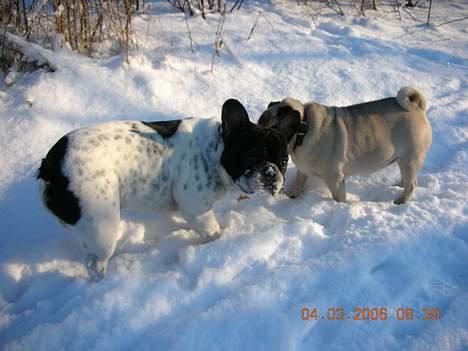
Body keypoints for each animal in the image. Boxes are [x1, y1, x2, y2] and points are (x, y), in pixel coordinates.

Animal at [36, 100, 294, 282]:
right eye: (252, 156)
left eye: (283, 162)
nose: (271, 173)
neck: (214, 149)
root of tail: (51, 167)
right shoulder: (196, 209)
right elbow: (212, 231)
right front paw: (217, 242)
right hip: (101, 223)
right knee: (94, 263)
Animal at [258, 86, 434, 205]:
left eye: (270, 132)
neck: (304, 128)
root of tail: (417, 107)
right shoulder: (303, 169)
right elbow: (299, 181)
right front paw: (293, 195)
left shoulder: (335, 179)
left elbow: (338, 197)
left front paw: (339, 207)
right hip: (401, 158)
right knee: (405, 179)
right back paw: (397, 187)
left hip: (410, 158)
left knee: (411, 185)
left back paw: (400, 201)